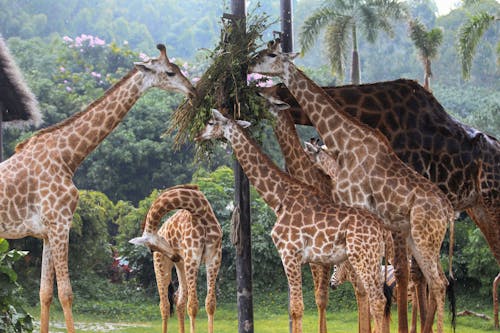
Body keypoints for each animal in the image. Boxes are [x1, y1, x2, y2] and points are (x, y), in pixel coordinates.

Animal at [0, 44, 195, 332]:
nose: (192, 89)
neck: (68, 157)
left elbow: (45, 293)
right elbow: (66, 294)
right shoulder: (61, 224)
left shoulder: (46, 231)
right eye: (170, 72)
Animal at [131, 183, 223, 332]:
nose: (174, 255)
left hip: (181, 266)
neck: (200, 211)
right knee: (165, 305)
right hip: (163, 267)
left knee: (179, 300)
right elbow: (193, 306)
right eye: (151, 249)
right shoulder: (192, 257)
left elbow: (210, 303)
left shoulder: (214, 257)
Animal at [194, 109, 390, 332]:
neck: (278, 198)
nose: (197, 136)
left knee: (376, 300)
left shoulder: (289, 254)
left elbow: (297, 308)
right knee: (377, 299)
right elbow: (296, 308)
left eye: (211, 122)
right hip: (372, 259)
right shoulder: (297, 258)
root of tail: (381, 229)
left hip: (363, 258)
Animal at [250, 39, 458, 332]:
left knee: (431, 282)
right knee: (434, 280)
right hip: (419, 238)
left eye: (270, 55)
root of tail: (448, 211)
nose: (250, 66)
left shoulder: (356, 210)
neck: (345, 141)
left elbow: (361, 288)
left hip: (423, 237)